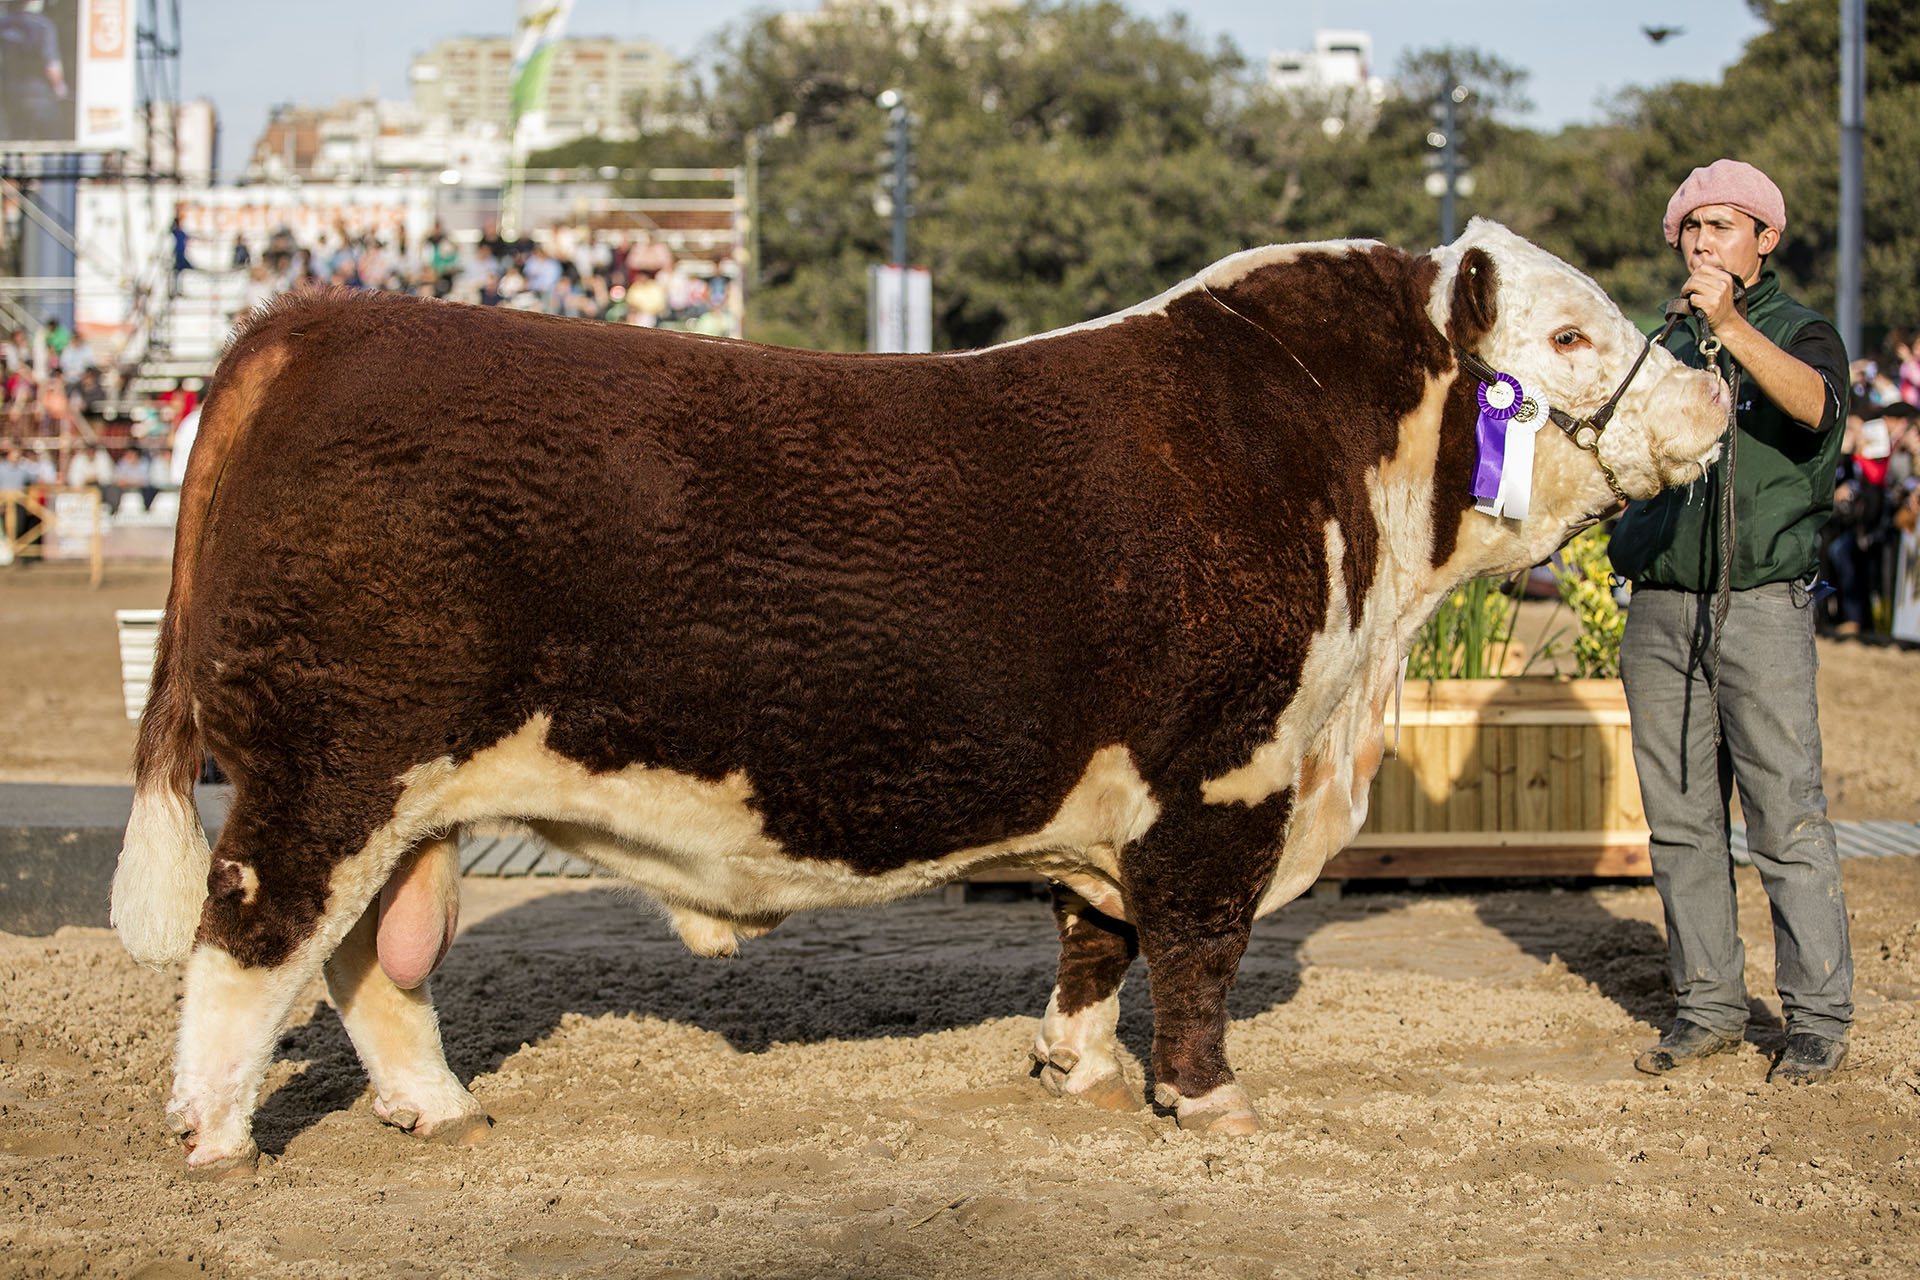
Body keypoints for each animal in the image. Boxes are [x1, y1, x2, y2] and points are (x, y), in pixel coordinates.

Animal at [108, 217, 1728, 1174]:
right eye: (1570, 336)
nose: (1718, 394)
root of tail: (309, 323)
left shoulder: (1117, 785)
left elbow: (1092, 935)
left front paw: (1074, 1068)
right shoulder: (1223, 772)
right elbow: (1199, 947)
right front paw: (1206, 1099)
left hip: (404, 792)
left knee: (369, 959)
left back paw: (434, 1106)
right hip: (327, 763)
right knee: (252, 938)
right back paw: (214, 1136)